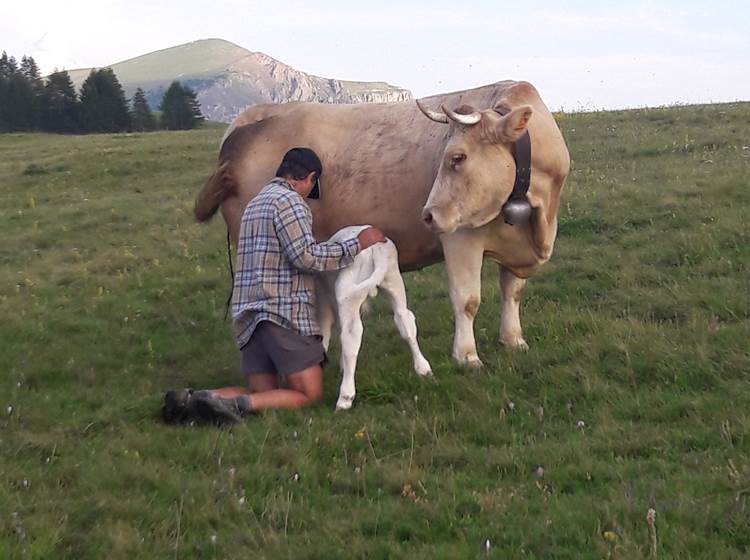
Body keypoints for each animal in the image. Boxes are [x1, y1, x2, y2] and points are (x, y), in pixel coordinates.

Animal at [197, 79, 572, 368]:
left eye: (458, 157)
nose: (427, 215)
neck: (537, 210)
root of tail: (246, 122)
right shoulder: (460, 237)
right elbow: (467, 299)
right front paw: (467, 356)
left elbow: (513, 292)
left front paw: (513, 340)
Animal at [318, 224, 434, 412]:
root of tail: (375, 249)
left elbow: (324, 336)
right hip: (393, 281)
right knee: (405, 321)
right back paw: (423, 369)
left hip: (348, 296)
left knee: (351, 337)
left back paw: (345, 398)